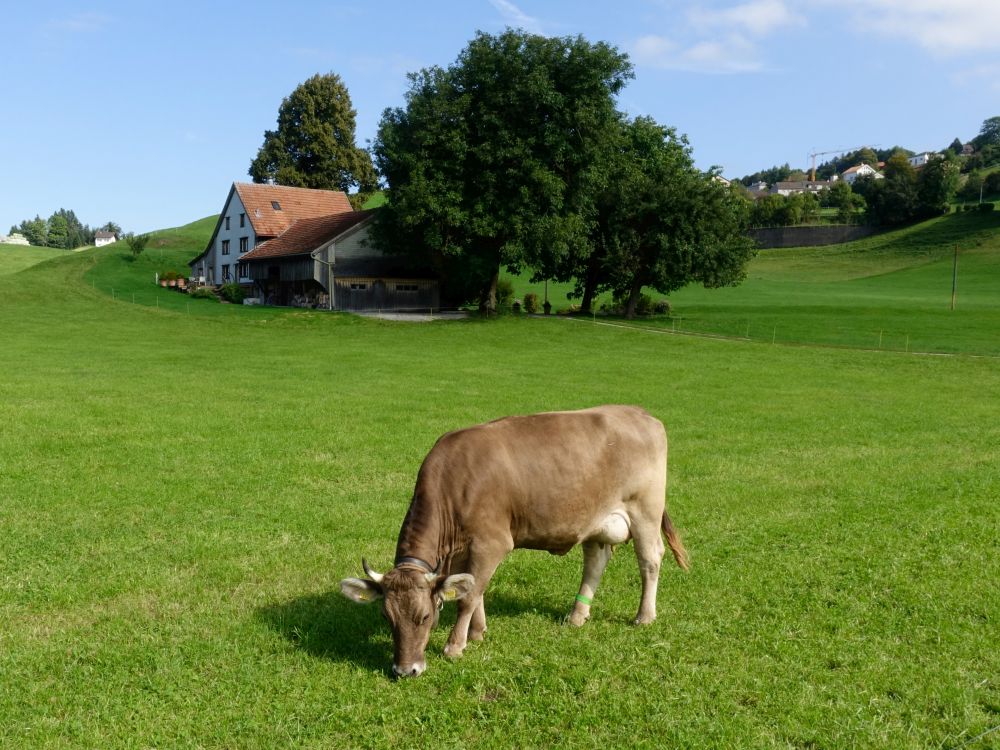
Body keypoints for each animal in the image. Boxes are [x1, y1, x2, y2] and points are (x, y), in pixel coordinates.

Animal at [342, 408, 688, 680]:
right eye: (386, 617)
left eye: (424, 617)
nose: (405, 670)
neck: (454, 483)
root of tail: (640, 414)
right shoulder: (462, 552)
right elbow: (473, 589)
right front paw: (477, 632)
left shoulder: (491, 543)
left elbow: (468, 597)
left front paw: (455, 645)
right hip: (596, 520)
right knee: (595, 562)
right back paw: (577, 615)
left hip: (645, 511)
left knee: (650, 560)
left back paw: (644, 616)